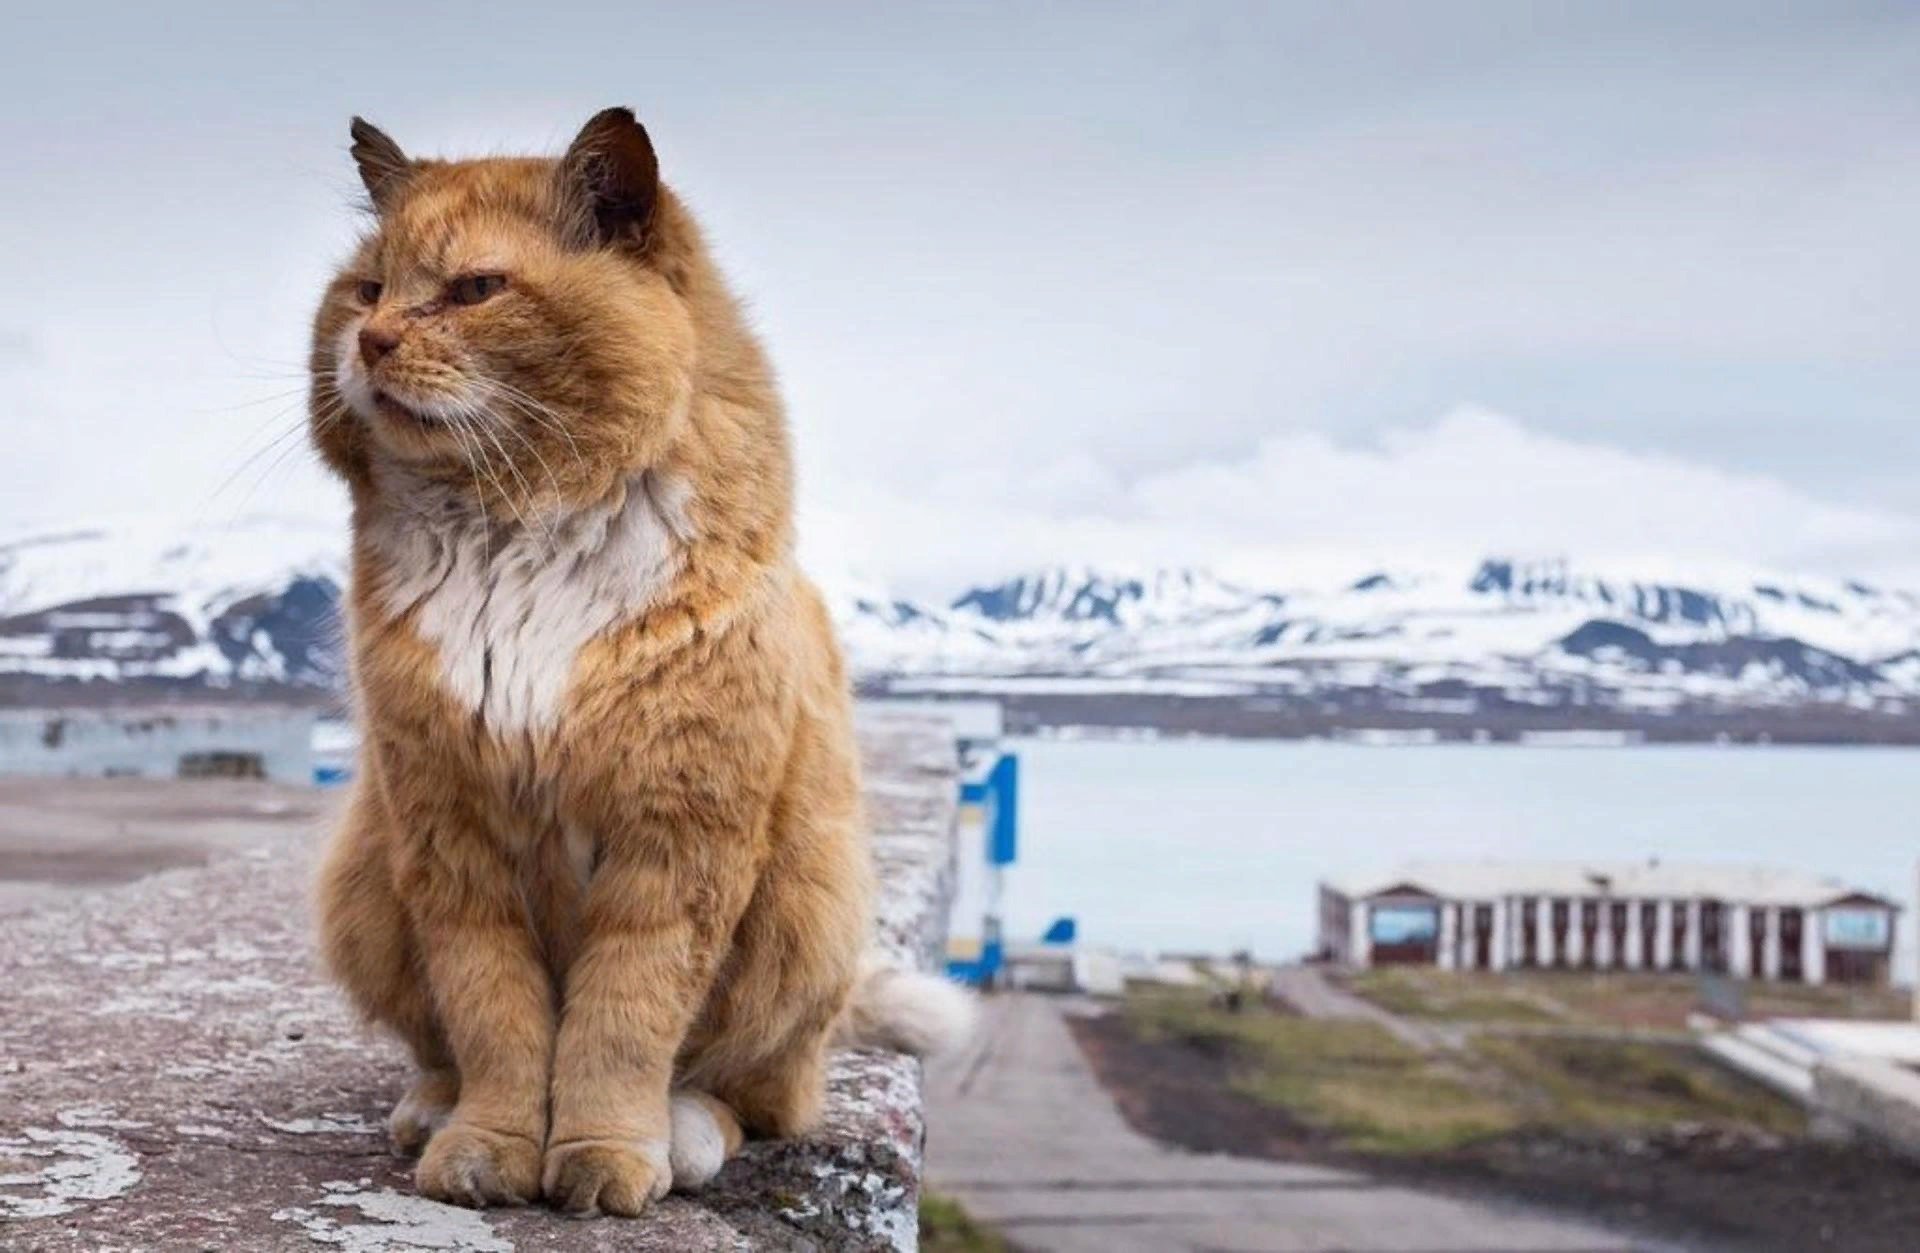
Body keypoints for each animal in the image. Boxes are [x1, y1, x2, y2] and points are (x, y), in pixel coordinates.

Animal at [316, 112, 975, 1220]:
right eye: (367, 290)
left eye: (475, 289)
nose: (371, 342)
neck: (517, 529)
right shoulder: (451, 834)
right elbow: (496, 1017)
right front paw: (490, 1147)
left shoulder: (676, 838)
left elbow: (621, 1025)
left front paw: (604, 1153)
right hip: (365, 877)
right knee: (440, 1046)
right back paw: (431, 1108)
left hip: (808, 904)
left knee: (759, 1092)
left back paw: (685, 1132)